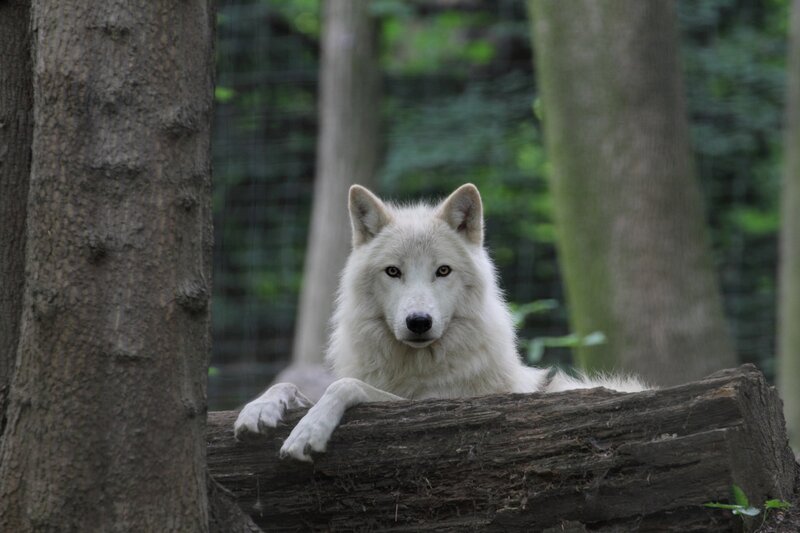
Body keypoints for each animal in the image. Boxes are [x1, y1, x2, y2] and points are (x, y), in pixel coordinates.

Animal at [234, 184, 646, 461]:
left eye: (443, 270)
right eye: (393, 271)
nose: (419, 322)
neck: (415, 367)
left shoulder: (440, 403)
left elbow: (344, 385)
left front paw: (308, 430)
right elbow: (290, 383)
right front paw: (259, 407)